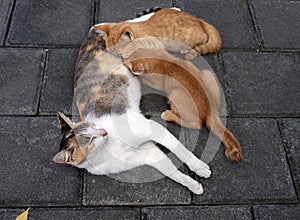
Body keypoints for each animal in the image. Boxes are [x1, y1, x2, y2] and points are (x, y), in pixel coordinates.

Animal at [51, 27, 211, 194]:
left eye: (93, 127)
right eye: (90, 139)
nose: (103, 132)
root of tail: (93, 31)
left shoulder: (151, 128)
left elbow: (181, 150)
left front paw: (199, 166)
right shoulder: (148, 154)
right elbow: (173, 173)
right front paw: (193, 185)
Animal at [92, 7, 221, 59]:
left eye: (118, 52)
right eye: (111, 52)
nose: (116, 58)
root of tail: (199, 20)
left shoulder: (156, 42)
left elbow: (139, 41)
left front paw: (127, 51)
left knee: (203, 38)